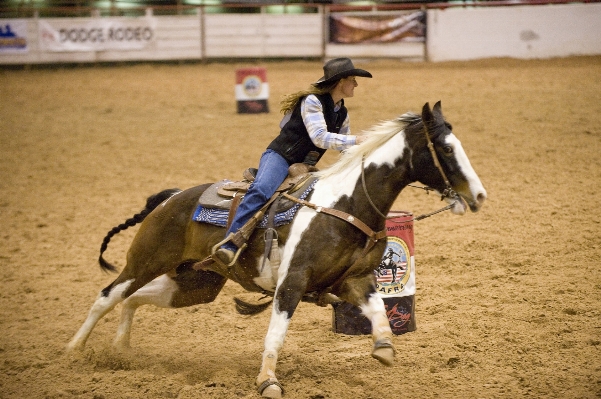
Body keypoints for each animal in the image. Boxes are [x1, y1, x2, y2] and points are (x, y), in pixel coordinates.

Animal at [67, 102, 488, 396]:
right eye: (446, 150)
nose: (479, 195)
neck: (348, 202)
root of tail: (169, 198)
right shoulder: (292, 281)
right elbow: (276, 333)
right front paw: (268, 381)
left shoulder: (355, 279)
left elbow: (378, 312)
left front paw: (384, 348)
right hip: (145, 260)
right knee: (107, 296)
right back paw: (72, 351)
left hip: (195, 284)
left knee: (133, 299)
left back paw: (120, 349)